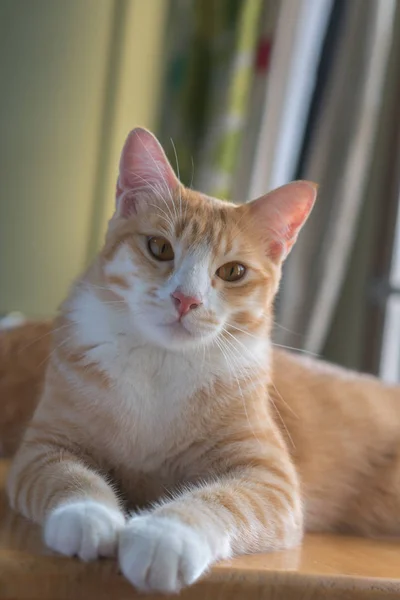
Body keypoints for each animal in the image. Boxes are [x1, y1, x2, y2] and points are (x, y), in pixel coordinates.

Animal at [2, 129, 400, 592]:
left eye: (232, 272)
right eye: (159, 247)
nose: (185, 299)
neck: (160, 362)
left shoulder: (270, 479)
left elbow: (224, 499)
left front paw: (165, 535)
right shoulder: (44, 447)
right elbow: (70, 476)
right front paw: (89, 515)